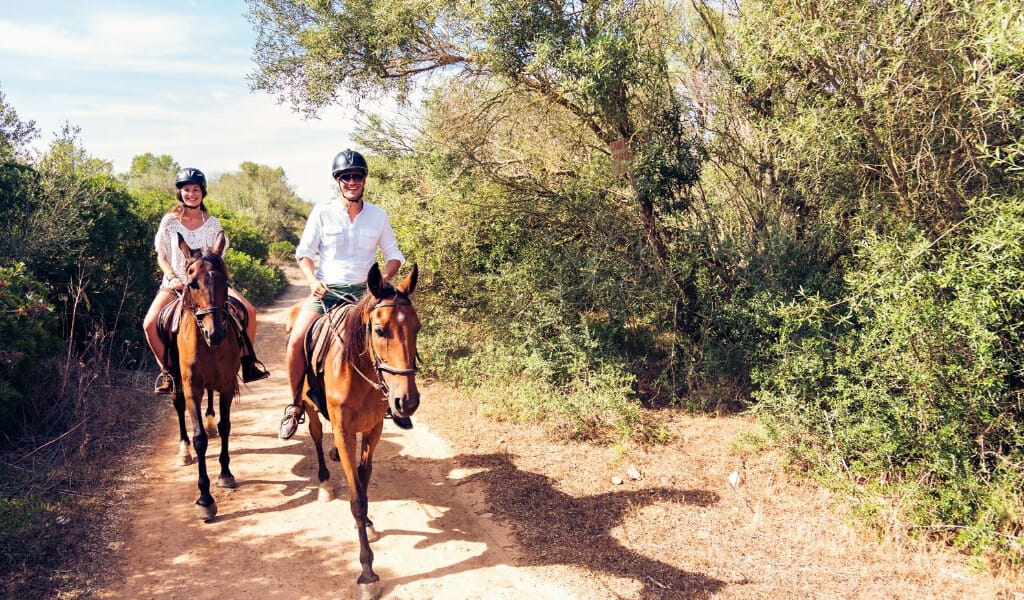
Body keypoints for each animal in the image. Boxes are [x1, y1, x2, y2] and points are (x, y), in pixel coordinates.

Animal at [166, 231, 240, 520]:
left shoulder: (228, 384)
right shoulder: (191, 389)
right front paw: (205, 499)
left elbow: (225, 426)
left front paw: (226, 474)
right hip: (176, 383)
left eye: (225, 281)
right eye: (192, 284)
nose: (215, 333)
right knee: (178, 407)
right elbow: (199, 439)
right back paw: (183, 451)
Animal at [294, 262, 421, 597]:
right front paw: (367, 572)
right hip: (309, 408)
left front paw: (367, 524)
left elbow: (363, 483)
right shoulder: (345, 431)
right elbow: (356, 499)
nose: (407, 401)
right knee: (315, 435)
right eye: (379, 330)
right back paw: (324, 482)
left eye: (417, 328)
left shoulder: (373, 429)